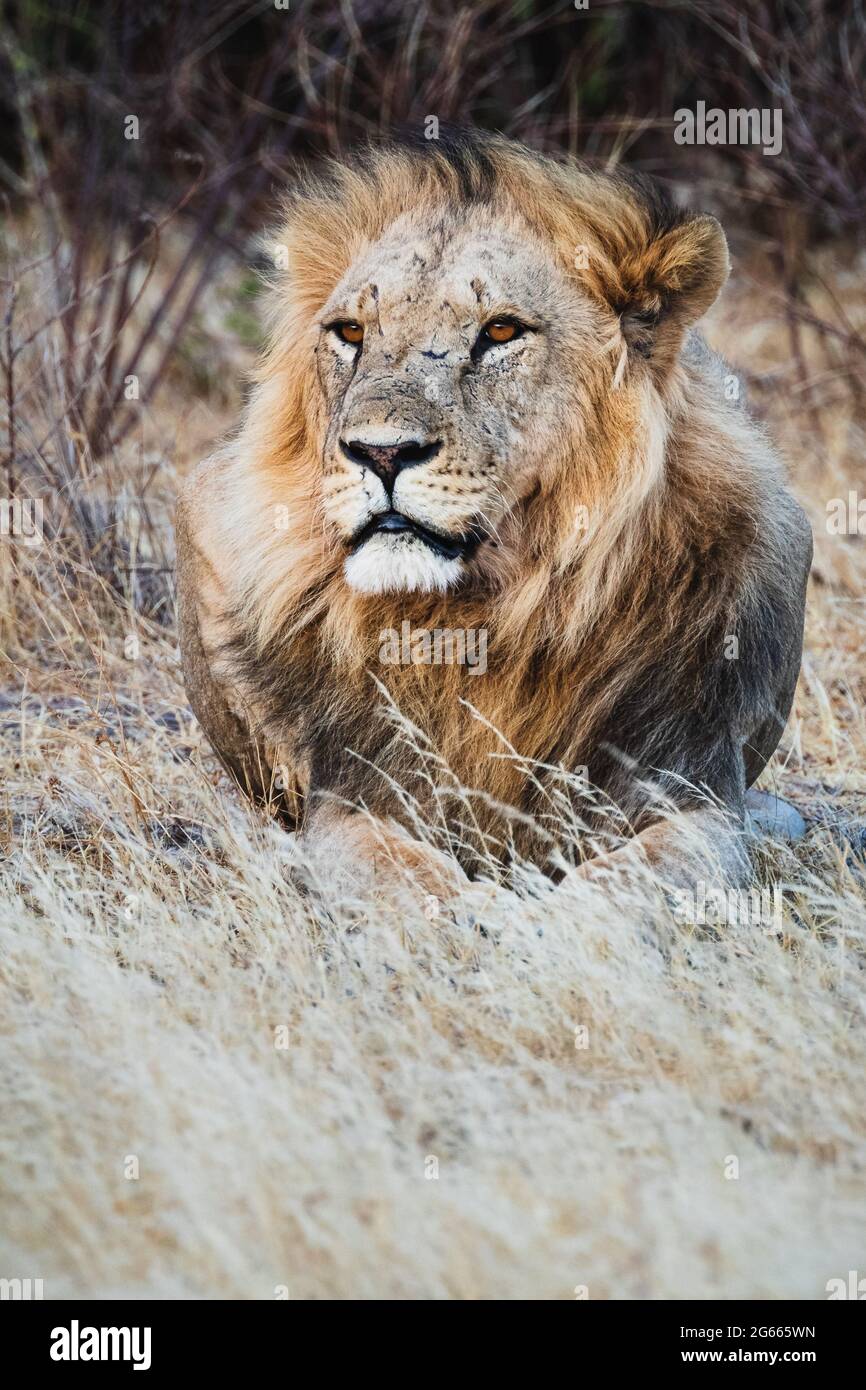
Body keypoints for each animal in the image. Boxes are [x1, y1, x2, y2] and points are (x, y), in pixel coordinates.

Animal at [176, 128, 811, 900]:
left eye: (502, 331)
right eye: (350, 332)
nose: (380, 453)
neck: (491, 614)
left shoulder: (691, 787)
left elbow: (627, 882)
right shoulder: (351, 798)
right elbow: (406, 881)